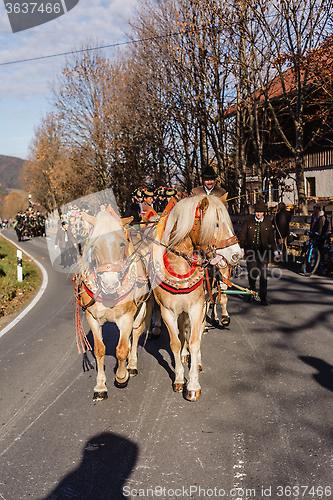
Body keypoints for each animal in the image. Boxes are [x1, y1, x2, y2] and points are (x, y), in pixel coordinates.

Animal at [76, 209, 150, 400]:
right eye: (94, 246)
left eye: (122, 243)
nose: (110, 284)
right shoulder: (93, 318)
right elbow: (99, 350)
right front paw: (100, 386)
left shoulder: (126, 317)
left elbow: (121, 349)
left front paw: (121, 376)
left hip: (141, 309)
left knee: (136, 331)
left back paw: (131, 365)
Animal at [147, 193, 240, 400]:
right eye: (215, 224)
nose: (237, 254)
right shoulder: (168, 311)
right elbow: (175, 342)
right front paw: (179, 378)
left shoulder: (197, 308)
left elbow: (195, 342)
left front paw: (193, 385)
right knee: (183, 331)